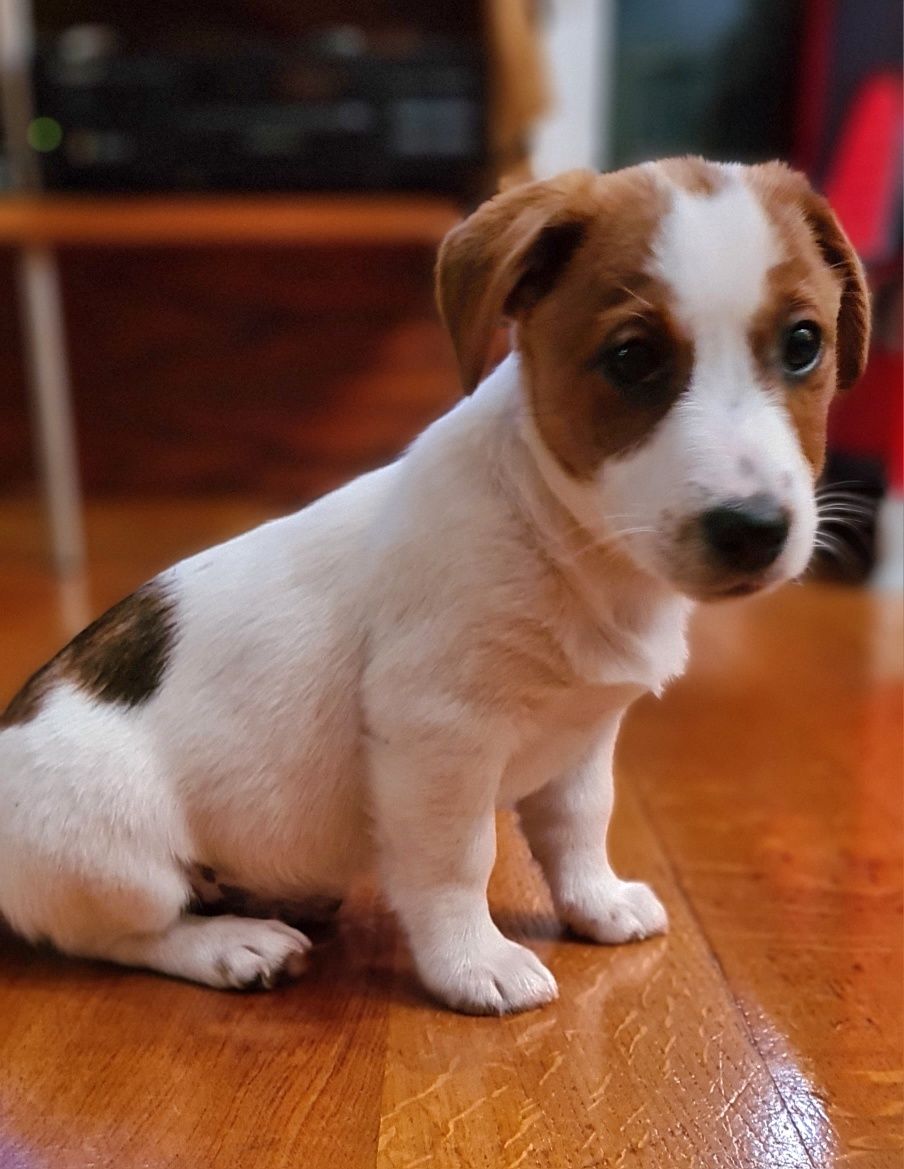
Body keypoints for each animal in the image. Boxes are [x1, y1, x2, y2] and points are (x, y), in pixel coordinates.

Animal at [3, 157, 870, 1014]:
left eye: (803, 344)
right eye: (633, 358)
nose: (755, 528)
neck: (563, 538)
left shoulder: (586, 736)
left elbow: (580, 826)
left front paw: (596, 901)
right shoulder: (441, 735)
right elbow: (460, 860)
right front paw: (472, 959)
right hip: (115, 851)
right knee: (126, 932)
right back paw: (231, 943)